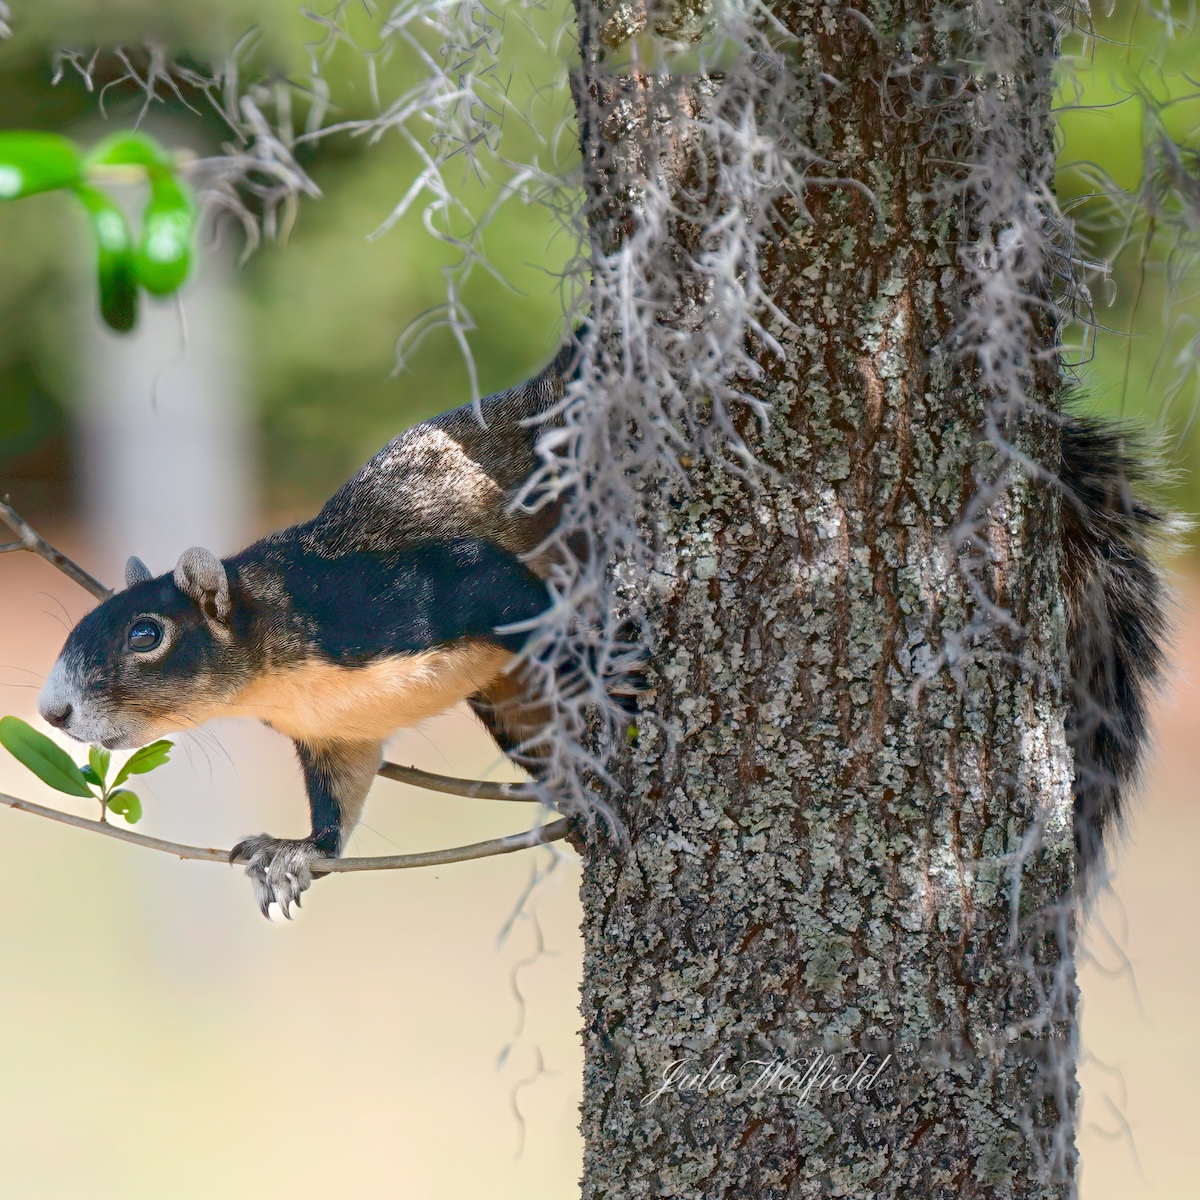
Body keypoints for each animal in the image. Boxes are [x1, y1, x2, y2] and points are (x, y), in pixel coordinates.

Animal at [37, 336, 1171, 915]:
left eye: (146, 636)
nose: (50, 711)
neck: (281, 664)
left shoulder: (395, 600)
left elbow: (499, 586)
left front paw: (610, 655)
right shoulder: (337, 734)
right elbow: (338, 808)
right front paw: (292, 857)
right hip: (512, 707)